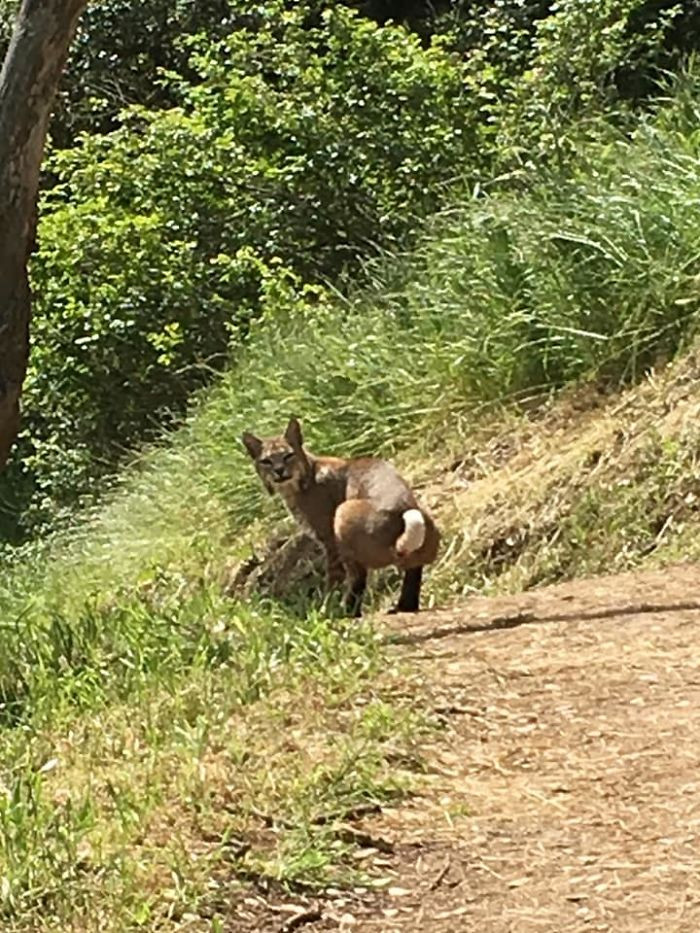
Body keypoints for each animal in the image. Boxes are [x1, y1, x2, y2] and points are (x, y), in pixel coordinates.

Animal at [241, 418, 438, 616]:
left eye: (288, 456)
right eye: (266, 461)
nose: (279, 471)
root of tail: (401, 510)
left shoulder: (328, 537)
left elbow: (333, 576)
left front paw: (326, 609)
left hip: (343, 512)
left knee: (357, 575)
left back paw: (345, 612)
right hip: (422, 514)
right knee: (412, 569)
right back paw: (404, 606)